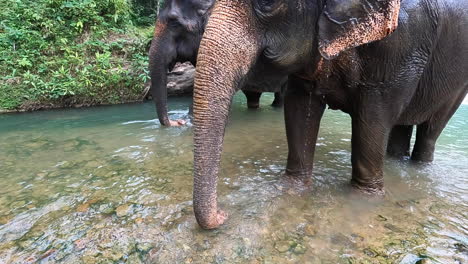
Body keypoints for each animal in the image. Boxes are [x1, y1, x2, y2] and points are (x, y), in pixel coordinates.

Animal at [190, 0, 468, 228]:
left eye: (267, 1)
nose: (223, 215)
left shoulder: (400, 46)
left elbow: (373, 118)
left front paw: (363, 201)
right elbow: (300, 107)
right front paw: (292, 190)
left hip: (457, 83)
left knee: (430, 130)